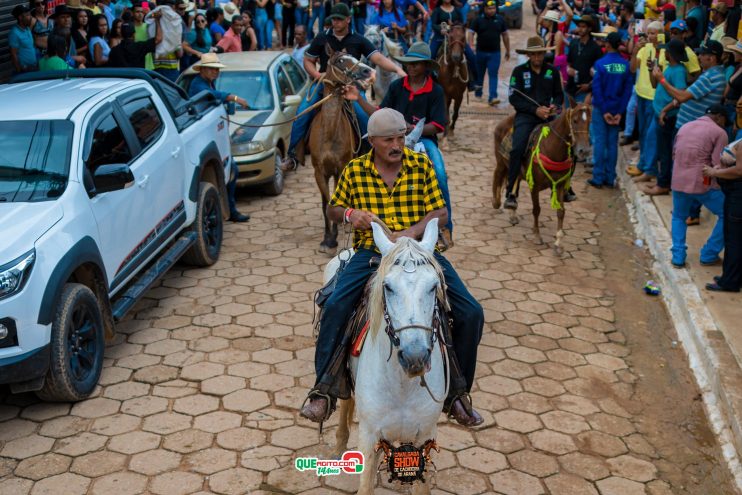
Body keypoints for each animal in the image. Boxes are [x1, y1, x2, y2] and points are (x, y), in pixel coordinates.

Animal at [308, 50, 372, 254]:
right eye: (340, 60)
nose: (367, 71)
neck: (328, 134)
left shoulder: (340, 170)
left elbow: (336, 202)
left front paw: (333, 238)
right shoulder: (319, 172)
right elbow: (326, 204)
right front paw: (327, 239)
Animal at [326, 219, 444, 495]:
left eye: (434, 286)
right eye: (388, 287)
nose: (414, 357)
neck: (402, 385)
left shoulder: (425, 433)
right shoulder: (370, 436)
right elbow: (366, 484)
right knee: (346, 400)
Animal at [494, 96, 592, 254]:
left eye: (590, 121)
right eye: (575, 120)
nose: (585, 151)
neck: (552, 148)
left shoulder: (560, 185)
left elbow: (561, 212)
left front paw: (558, 243)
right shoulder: (534, 186)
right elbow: (536, 209)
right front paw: (537, 236)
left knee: (514, 183)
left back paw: (512, 210)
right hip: (501, 163)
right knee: (498, 178)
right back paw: (496, 202)